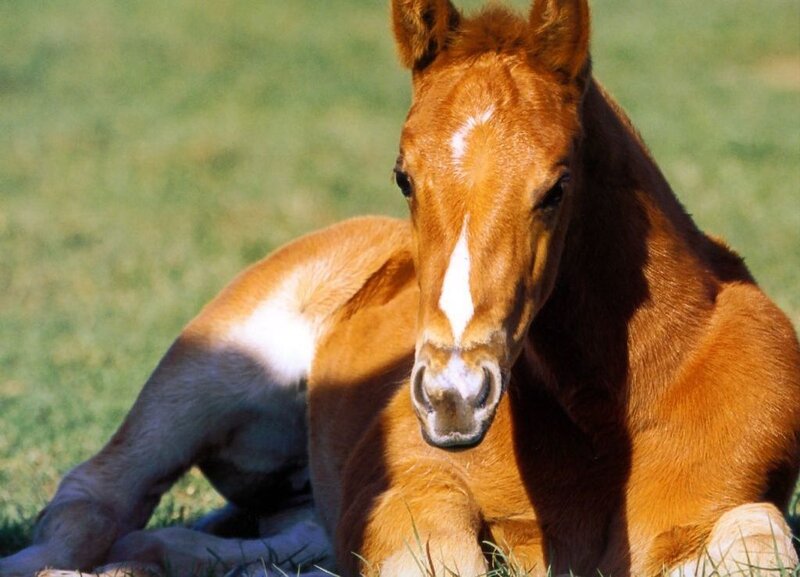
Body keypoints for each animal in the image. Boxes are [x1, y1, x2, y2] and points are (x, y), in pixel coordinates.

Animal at [2, 0, 798, 576]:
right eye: (403, 175)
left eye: (557, 186)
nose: (453, 397)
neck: (609, 416)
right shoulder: (407, 488)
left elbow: (761, 545)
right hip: (206, 370)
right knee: (94, 493)